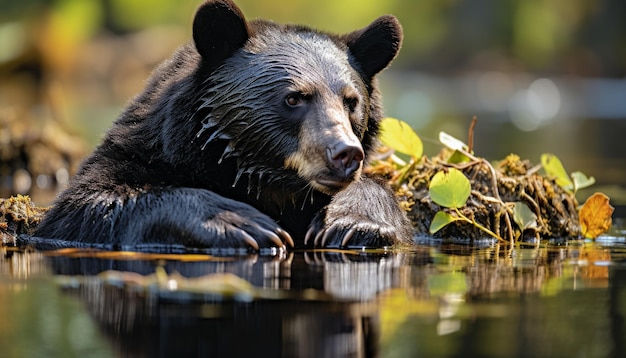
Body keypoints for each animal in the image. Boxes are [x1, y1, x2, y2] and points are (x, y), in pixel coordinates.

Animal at [35, 0, 414, 252]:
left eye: (351, 102)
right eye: (294, 98)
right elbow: (87, 204)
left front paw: (351, 222)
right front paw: (244, 223)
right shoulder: (132, 154)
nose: (345, 154)